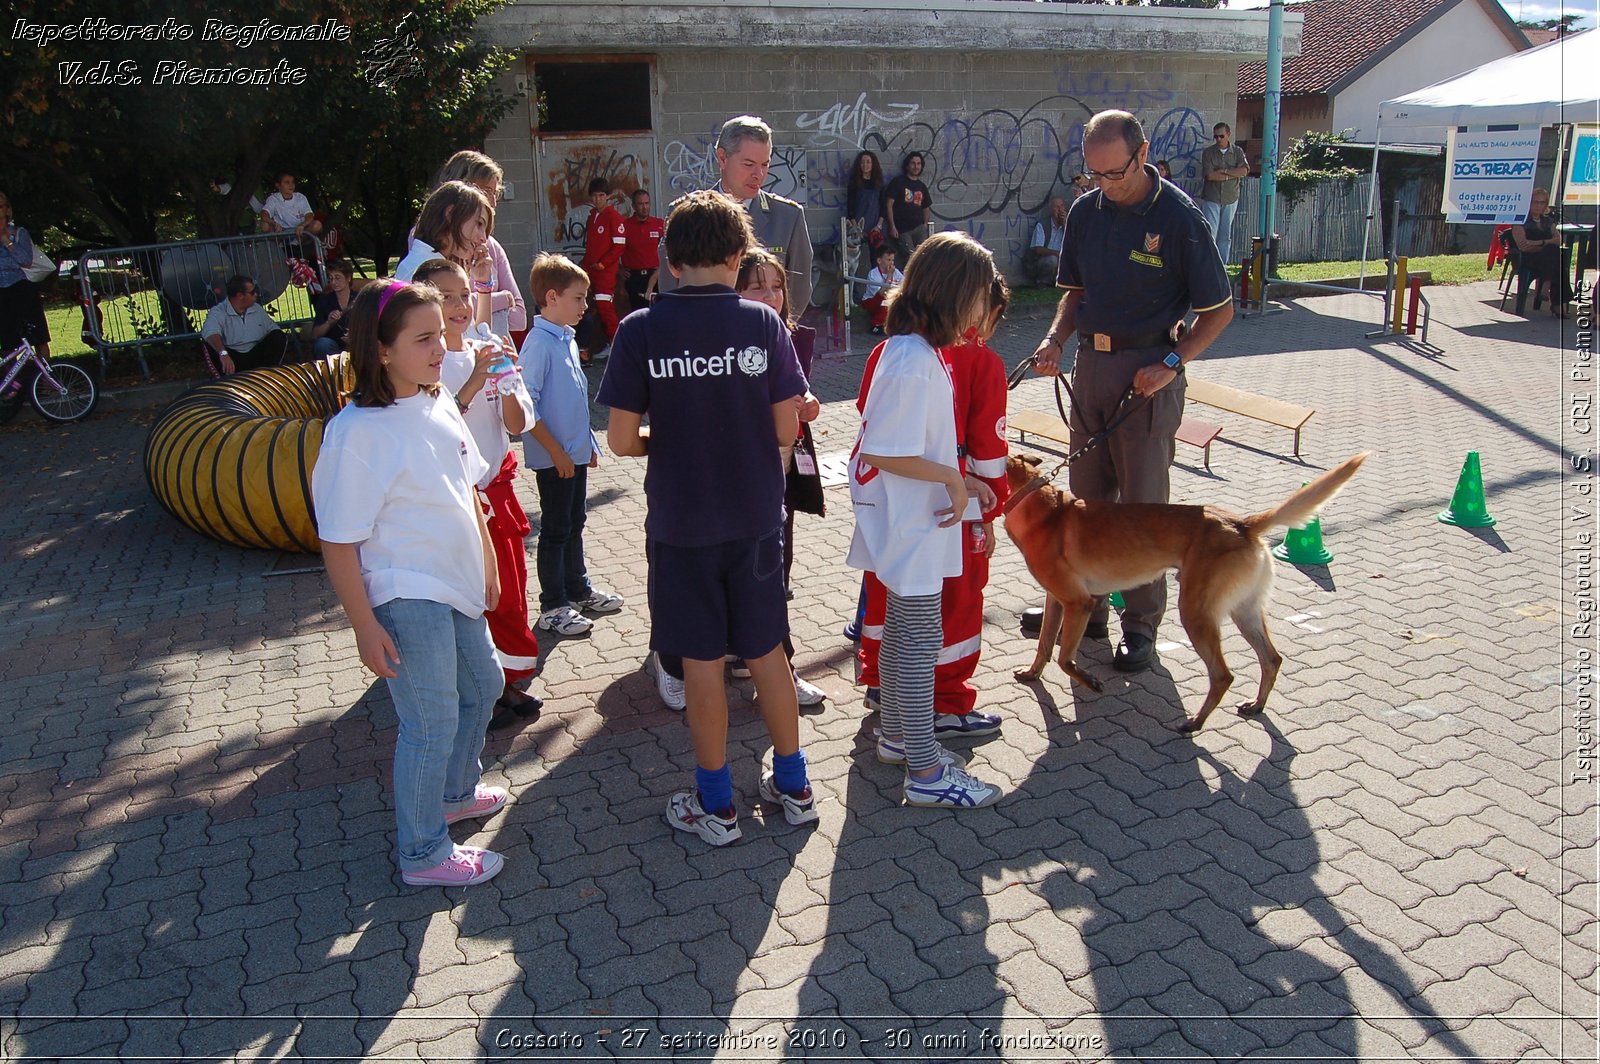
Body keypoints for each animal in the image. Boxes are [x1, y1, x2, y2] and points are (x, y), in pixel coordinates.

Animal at [998, 448, 1363, 729]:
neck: (1037, 503)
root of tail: (1242, 524)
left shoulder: (1079, 603)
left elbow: (1063, 658)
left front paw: (1089, 680)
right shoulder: (1057, 601)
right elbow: (1045, 646)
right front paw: (1032, 673)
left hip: (1196, 614)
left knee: (1223, 675)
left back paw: (1196, 723)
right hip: (1244, 612)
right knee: (1271, 659)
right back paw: (1256, 705)